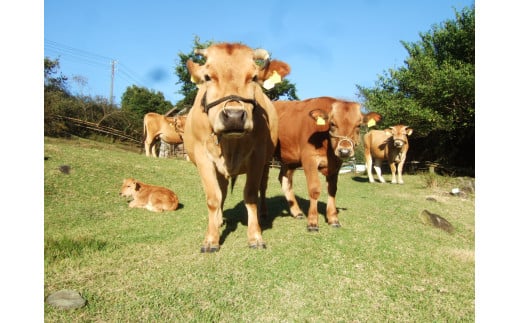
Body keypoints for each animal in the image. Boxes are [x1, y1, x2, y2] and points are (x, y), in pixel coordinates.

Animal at [183, 42, 290, 253]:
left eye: (254, 77)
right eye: (207, 77)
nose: (233, 116)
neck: (230, 144)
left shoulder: (258, 156)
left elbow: (251, 195)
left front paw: (255, 236)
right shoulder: (202, 157)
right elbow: (214, 198)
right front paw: (211, 239)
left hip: (267, 163)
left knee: (263, 187)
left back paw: (263, 213)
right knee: (222, 191)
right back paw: (219, 220)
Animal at [272, 97, 382, 232]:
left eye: (358, 125)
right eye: (333, 124)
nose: (344, 151)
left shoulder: (336, 164)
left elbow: (332, 189)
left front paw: (333, 219)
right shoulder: (309, 160)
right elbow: (314, 190)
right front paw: (312, 222)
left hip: (289, 160)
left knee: (284, 180)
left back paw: (296, 212)